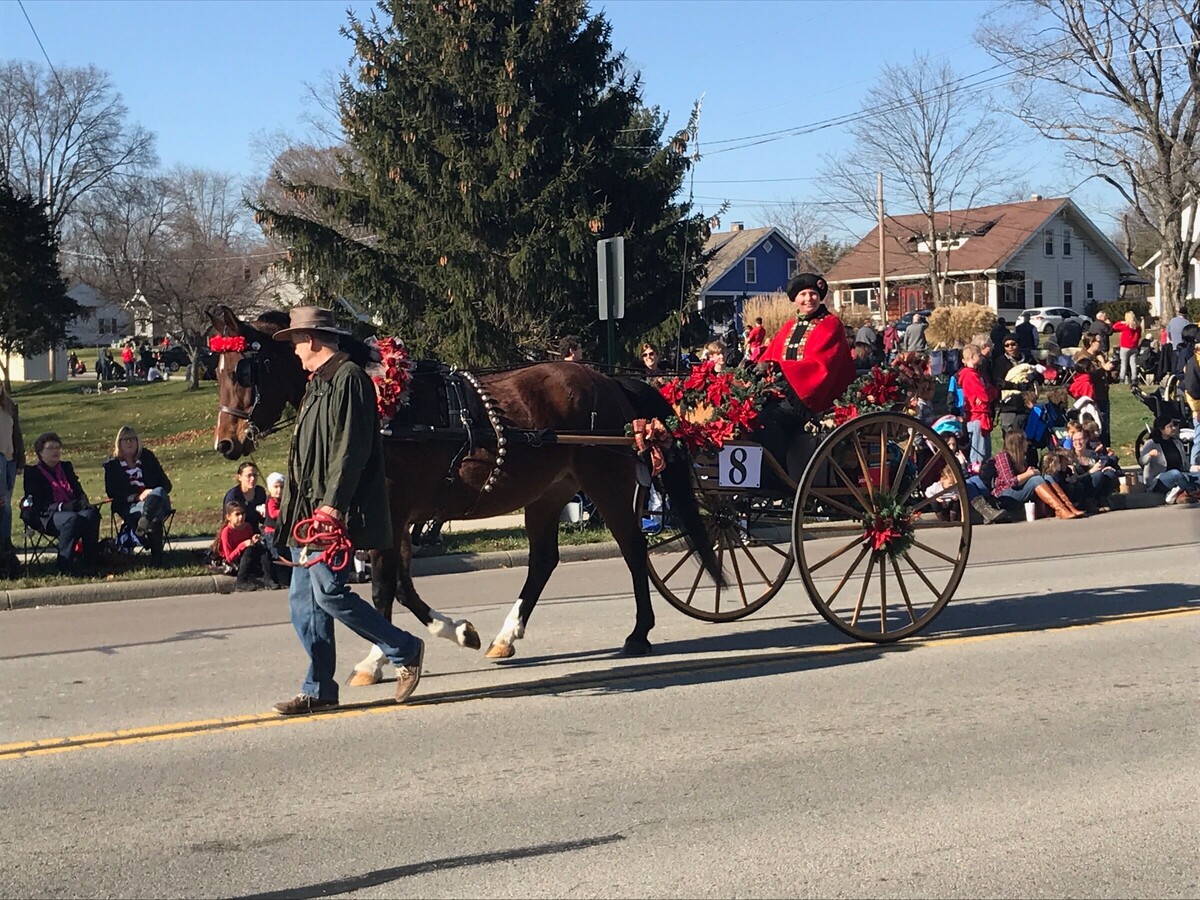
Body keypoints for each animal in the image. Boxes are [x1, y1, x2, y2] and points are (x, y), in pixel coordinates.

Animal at [207, 307, 715, 681]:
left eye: (244, 369)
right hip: (548, 493)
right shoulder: (398, 518)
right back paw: (506, 636)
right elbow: (404, 586)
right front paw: (455, 631)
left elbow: (384, 587)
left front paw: (375, 659)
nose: (226, 443)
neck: (385, 406)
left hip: (606, 483)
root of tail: (610, 382)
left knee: (632, 548)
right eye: (219, 370)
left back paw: (639, 633)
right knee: (544, 560)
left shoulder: (390, 510)